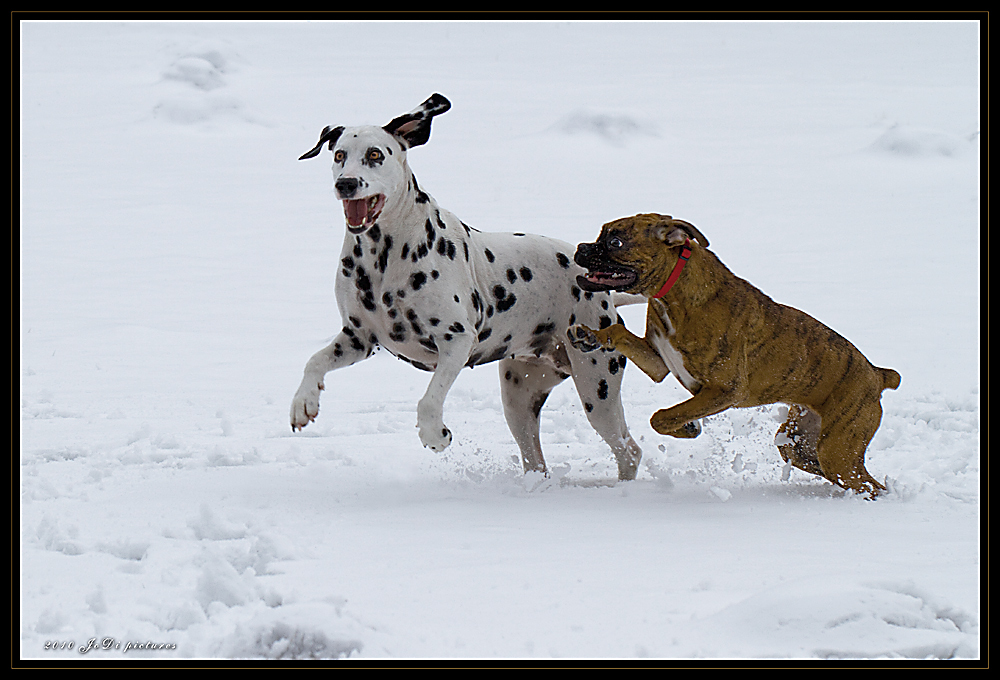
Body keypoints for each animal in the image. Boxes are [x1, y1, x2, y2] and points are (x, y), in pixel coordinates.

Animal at [290, 93, 644, 480]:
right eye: (339, 155)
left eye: (375, 154)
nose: (347, 183)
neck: (383, 255)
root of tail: (604, 294)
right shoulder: (358, 339)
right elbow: (314, 361)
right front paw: (303, 402)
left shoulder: (456, 341)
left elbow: (429, 401)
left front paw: (435, 436)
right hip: (519, 398)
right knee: (535, 459)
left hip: (597, 388)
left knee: (629, 451)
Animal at [568, 214, 904, 500]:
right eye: (601, 234)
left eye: (616, 242)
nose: (581, 248)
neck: (674, 292)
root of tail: (877, 375)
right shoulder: (658, 362)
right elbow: (619, 333)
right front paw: (589, 336)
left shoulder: (725, 391)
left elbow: (662, 416)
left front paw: (687, 427)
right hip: (801, 443)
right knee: (830, 469)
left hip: (838, 450)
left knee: (869, 485)